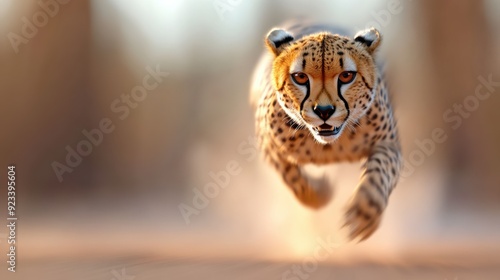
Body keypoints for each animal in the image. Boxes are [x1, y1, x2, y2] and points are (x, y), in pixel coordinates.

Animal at [250, 23, 402, 241]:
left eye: (347, 75)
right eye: (300, 77)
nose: (324, 111)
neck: (329, 147)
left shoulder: (388, 144)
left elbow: (381, 169)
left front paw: (365, 210)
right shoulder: (268, 145)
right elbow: (293, 179)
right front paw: (322, 192)